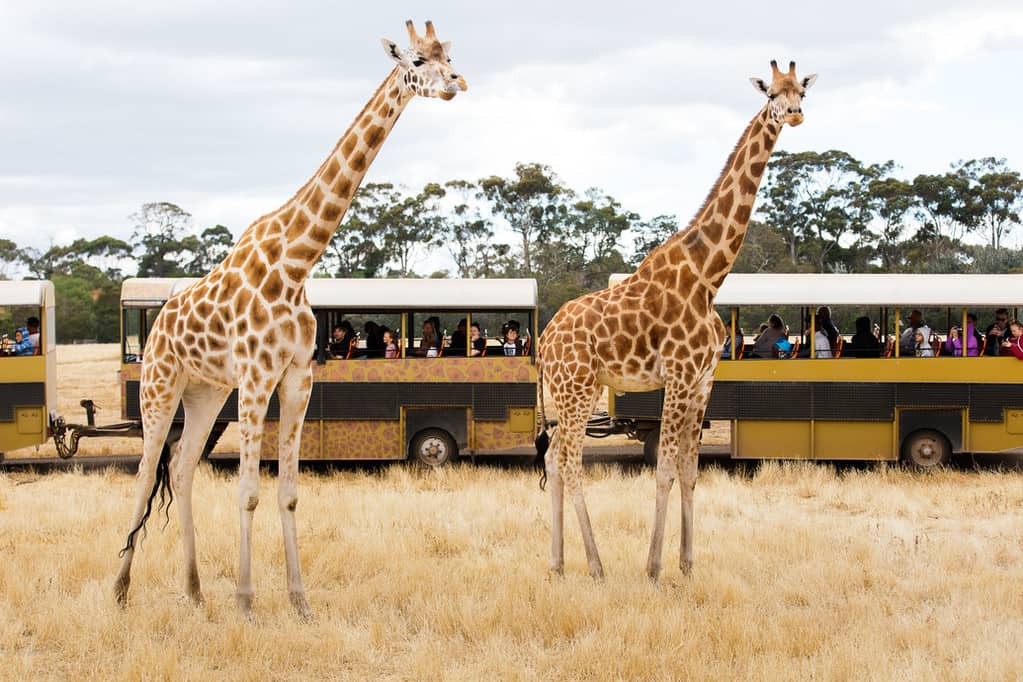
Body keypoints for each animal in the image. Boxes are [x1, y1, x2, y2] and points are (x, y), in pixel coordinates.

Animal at [113, 21, 468, 617]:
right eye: (419, 60)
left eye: (451, 54)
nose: (457, 83)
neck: (298, 260)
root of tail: (158, 323)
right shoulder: (258, 376)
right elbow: (248, 491)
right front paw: (246, 601)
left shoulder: (298, 376)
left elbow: (289, 491)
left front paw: (299, 601)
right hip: (161, 384)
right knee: (144, 471)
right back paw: (119, 589)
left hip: (206, 391)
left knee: (181, 467)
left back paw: (194, 591)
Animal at [536, 60, 814, 580]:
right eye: (771, 93)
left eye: (801, 91)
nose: (795, 114)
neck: (709, 276)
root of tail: (544, 340)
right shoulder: (680, 375)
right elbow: (663, 468)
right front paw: (653, 569)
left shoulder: (705, 379)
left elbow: (689, 469)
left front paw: (687, 565)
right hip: (577, 388)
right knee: (570, 462)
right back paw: (596, 566)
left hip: (573, 391)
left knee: (552, 457)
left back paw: (559, 563)